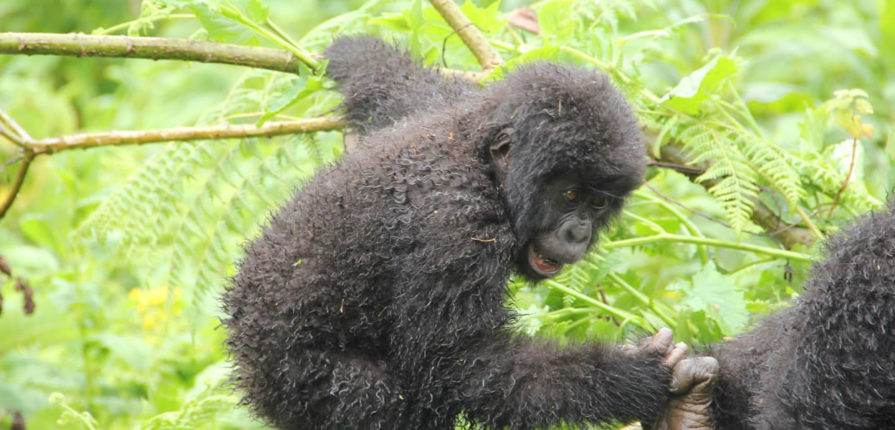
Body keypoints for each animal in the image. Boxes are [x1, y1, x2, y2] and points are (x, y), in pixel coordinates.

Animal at [224, 37, 688, 430]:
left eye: (598, 205)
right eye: (570, 195)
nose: (579, 233)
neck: (482, 164)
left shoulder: (457, 107)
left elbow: (399, 85)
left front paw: (348, 51)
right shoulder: (456, 228)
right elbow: (455, 365)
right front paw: (632, 377)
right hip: (302, 381)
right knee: (381, 398)